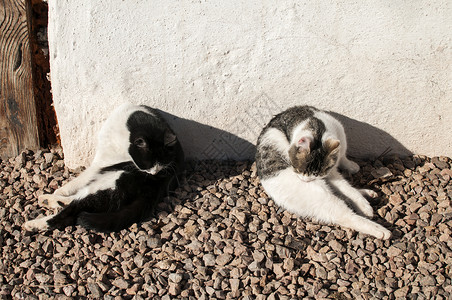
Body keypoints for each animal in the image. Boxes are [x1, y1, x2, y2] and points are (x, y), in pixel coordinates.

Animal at [23, 103, 184, 232]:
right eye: (149, 164)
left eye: (161, 165)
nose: (154, 173)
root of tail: (153, 191)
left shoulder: (100, 163)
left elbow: (79, 179)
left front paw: (61, 190)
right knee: (77, 201)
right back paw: (48, 200)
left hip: (111, 183)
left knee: (72, 212)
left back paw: (34, 223)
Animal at [256, 105, 390, 239]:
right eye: (297, 170)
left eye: (316, 173)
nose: (305, 180)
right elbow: (346, 188)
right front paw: (365, 206)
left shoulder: (331, 169)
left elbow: (346, 181)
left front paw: (351, 167)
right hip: (322, 197)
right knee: (347, 215)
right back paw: (382, 231)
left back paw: (368, 194)